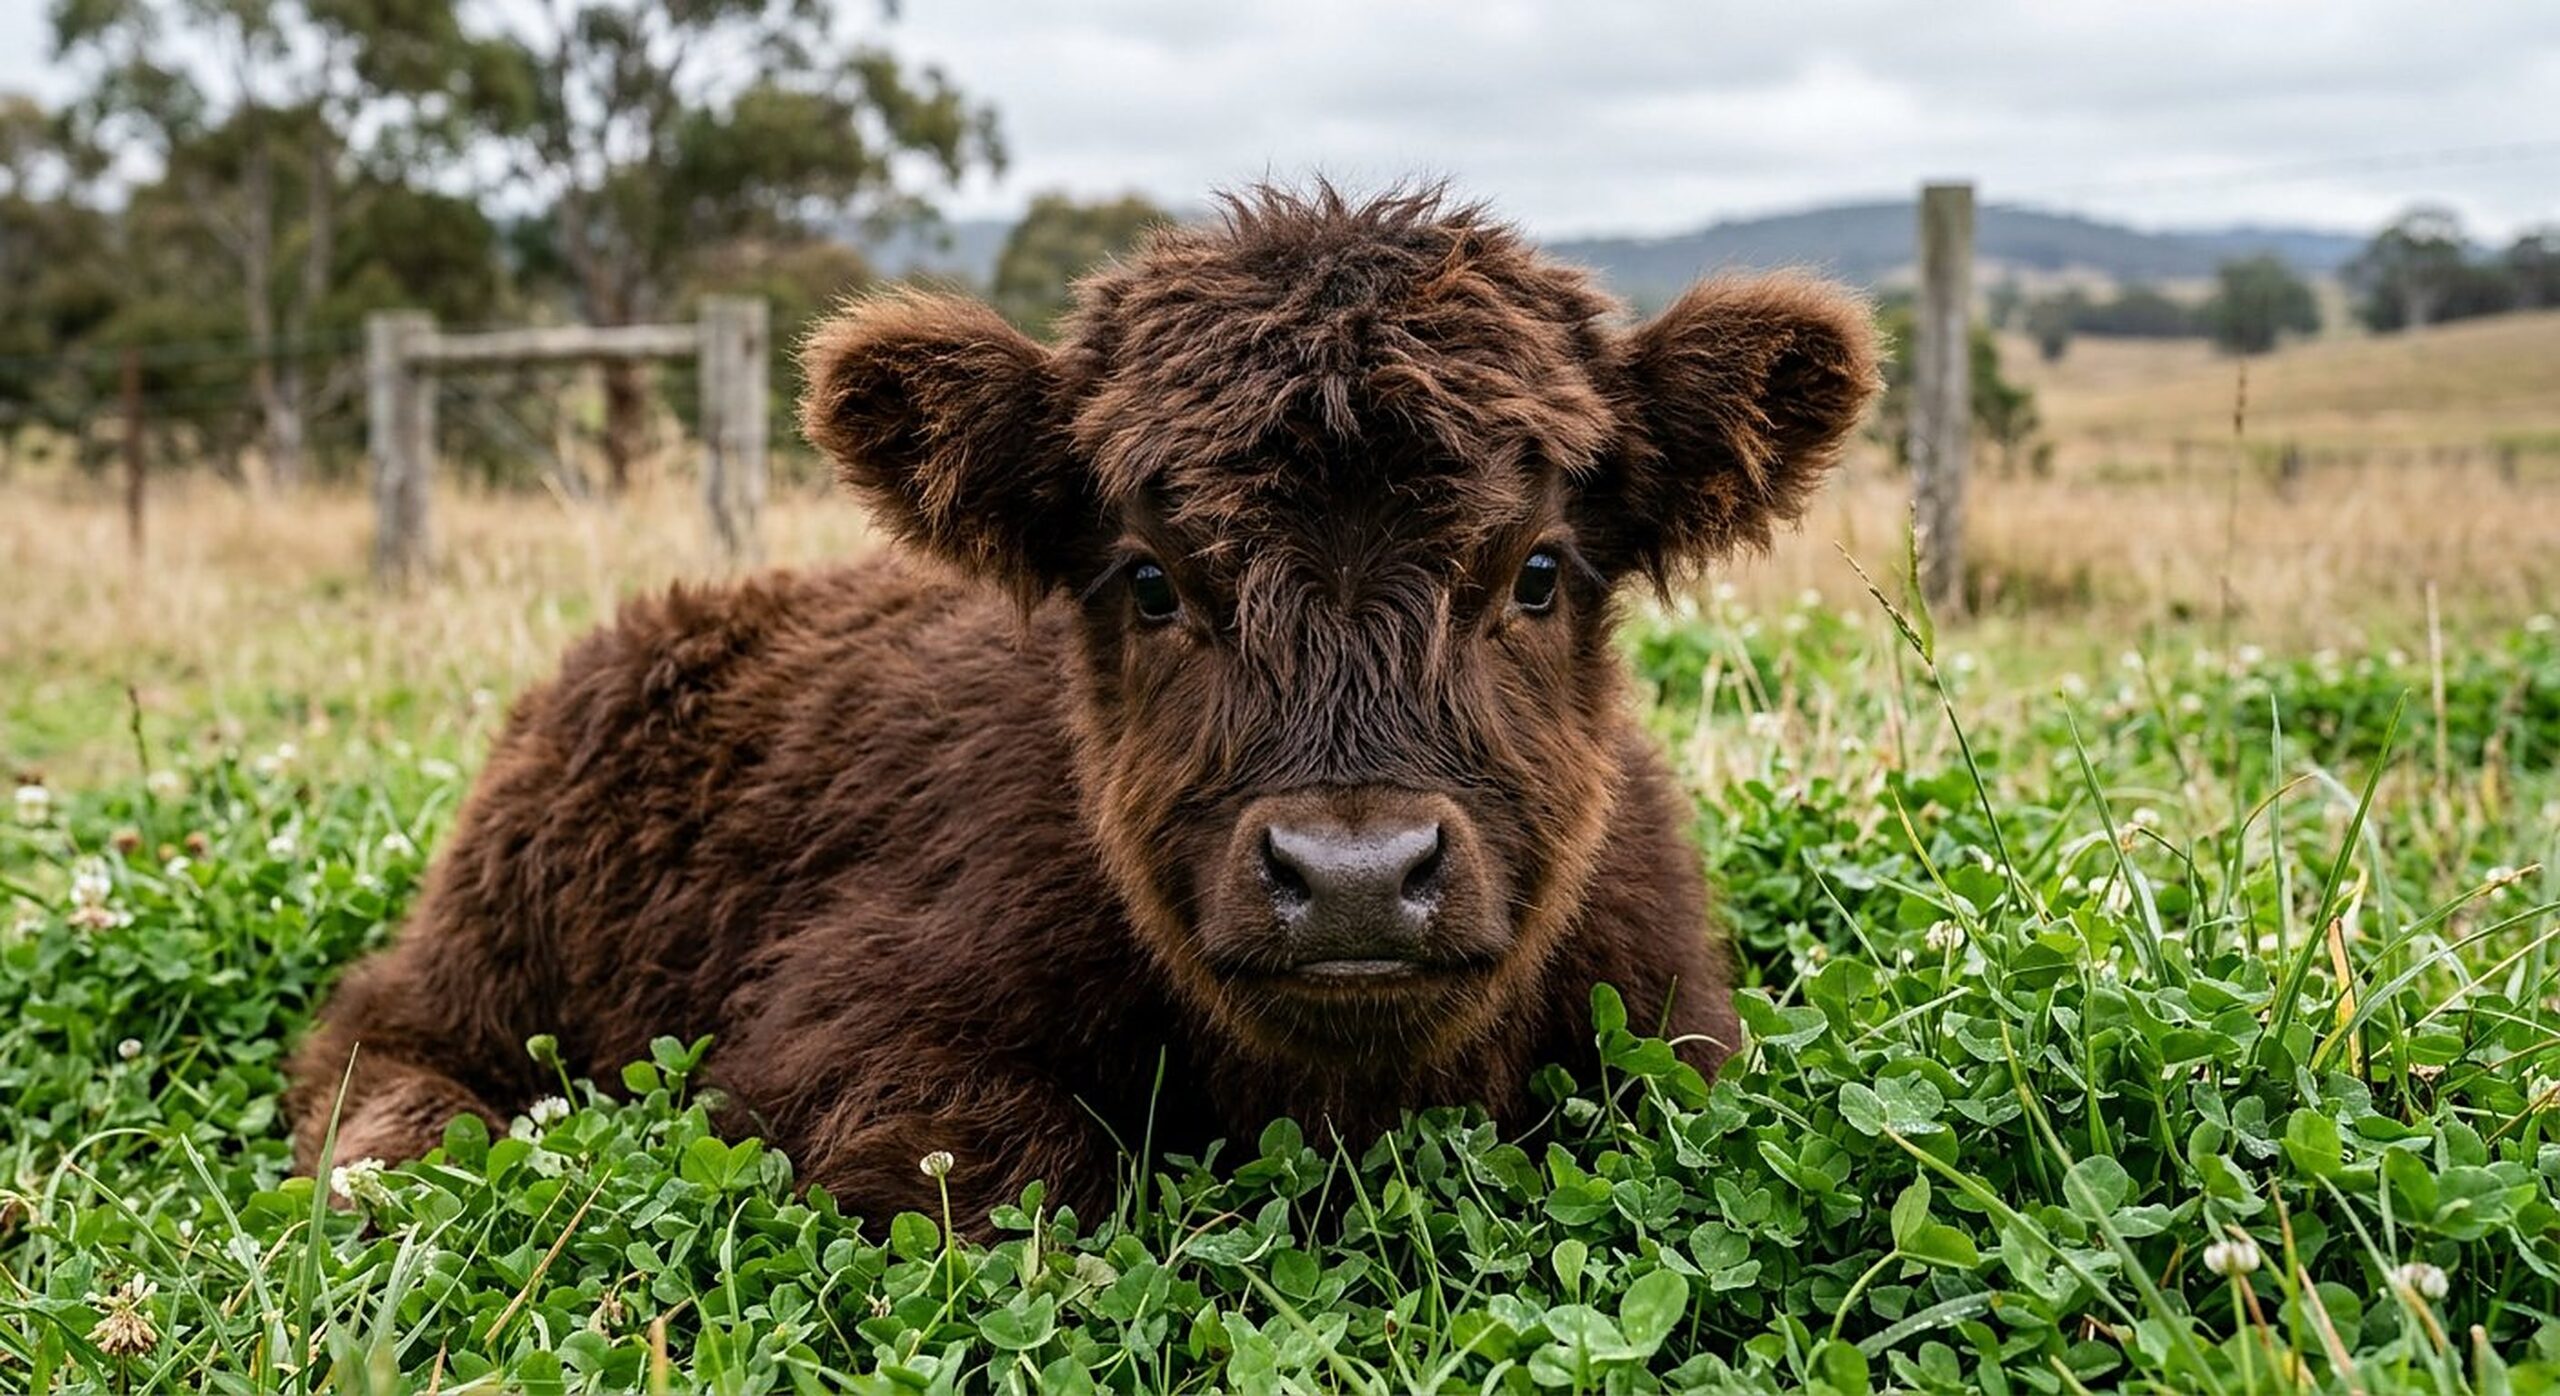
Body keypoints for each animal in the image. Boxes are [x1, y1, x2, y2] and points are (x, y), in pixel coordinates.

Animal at [287, 183, 1880, 1226]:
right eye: (1151, 580)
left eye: (1538, 570)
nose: (1355, 876)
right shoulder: (836, 1032)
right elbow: (1025, 1179)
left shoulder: (1675, 1028)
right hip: (491, 949)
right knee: (374, 1039)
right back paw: (402, 1164)